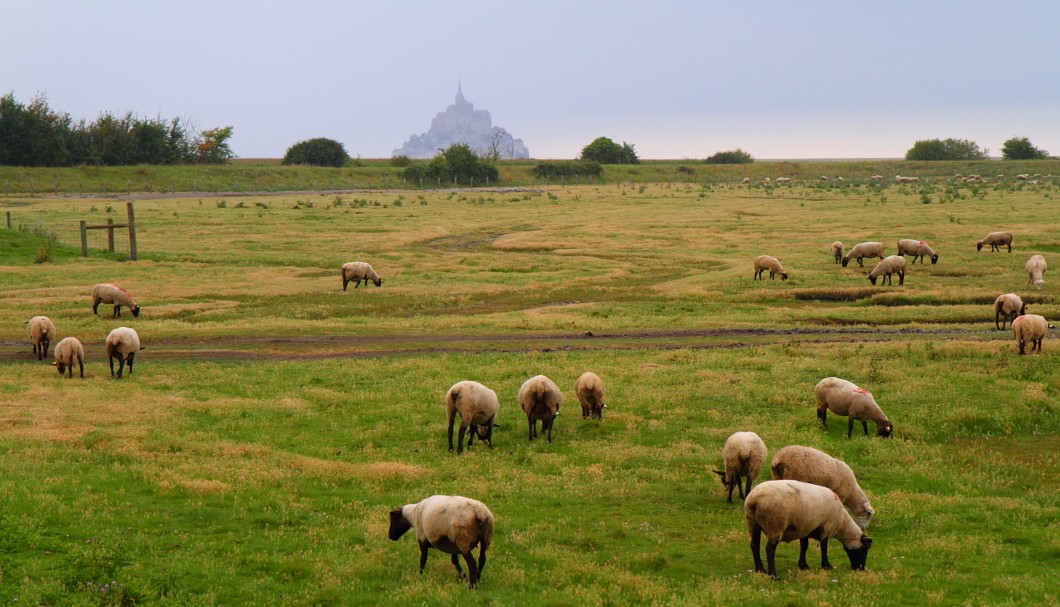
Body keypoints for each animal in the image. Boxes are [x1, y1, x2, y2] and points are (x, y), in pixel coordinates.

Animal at [741, 478, 873, 576]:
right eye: (865, 549)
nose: (860, 569)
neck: (841, 523)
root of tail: (754, 499)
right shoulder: (826, 527)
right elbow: (824, 547)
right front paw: (827, 565)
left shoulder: (805, 528)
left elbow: (804, 546)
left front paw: (803, 565)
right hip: (775, 523)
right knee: (769, 549)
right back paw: (773, 574)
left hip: (752, 523)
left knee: (754, 545)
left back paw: (760, 570)